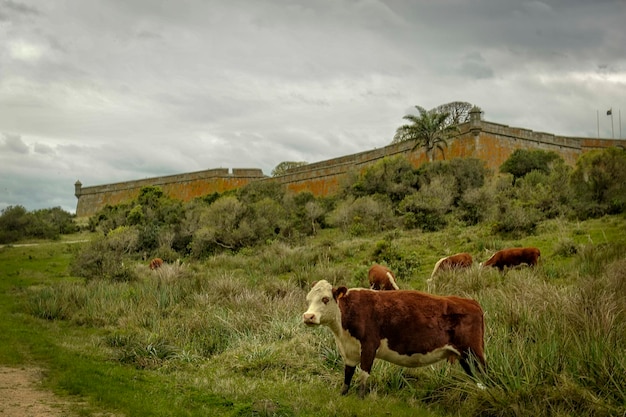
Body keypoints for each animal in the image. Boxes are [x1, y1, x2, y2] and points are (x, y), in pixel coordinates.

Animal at [300, 280, 486, 396]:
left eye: (325, 299)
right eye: (308, 300)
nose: (308, 316)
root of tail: (471, 302)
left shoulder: (369, 346)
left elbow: (363, 377)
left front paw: (360, 398)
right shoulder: (350, 351)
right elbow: (347, 376)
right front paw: (343, 394)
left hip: (475, 353)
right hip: (465, 357)